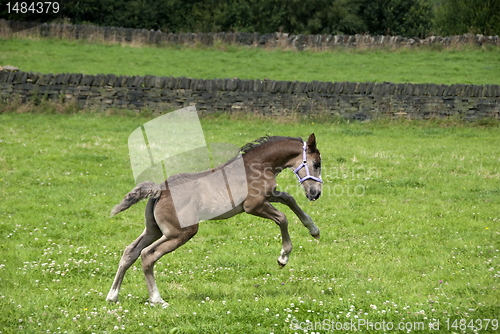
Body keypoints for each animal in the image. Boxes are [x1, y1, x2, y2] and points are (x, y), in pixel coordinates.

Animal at [107, 133, 322, 306]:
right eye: (316, 164)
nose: (316, 193)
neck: (257, 166)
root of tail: (159, 190)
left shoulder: (269, 196)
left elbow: (289, 198)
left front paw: (314, 230)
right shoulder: (254, 206)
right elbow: (283, 218)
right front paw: (283, 257)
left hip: (154, 230)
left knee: (130, 252)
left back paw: (113, 296)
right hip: (180, 233)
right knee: (147, 255)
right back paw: (157, 300)